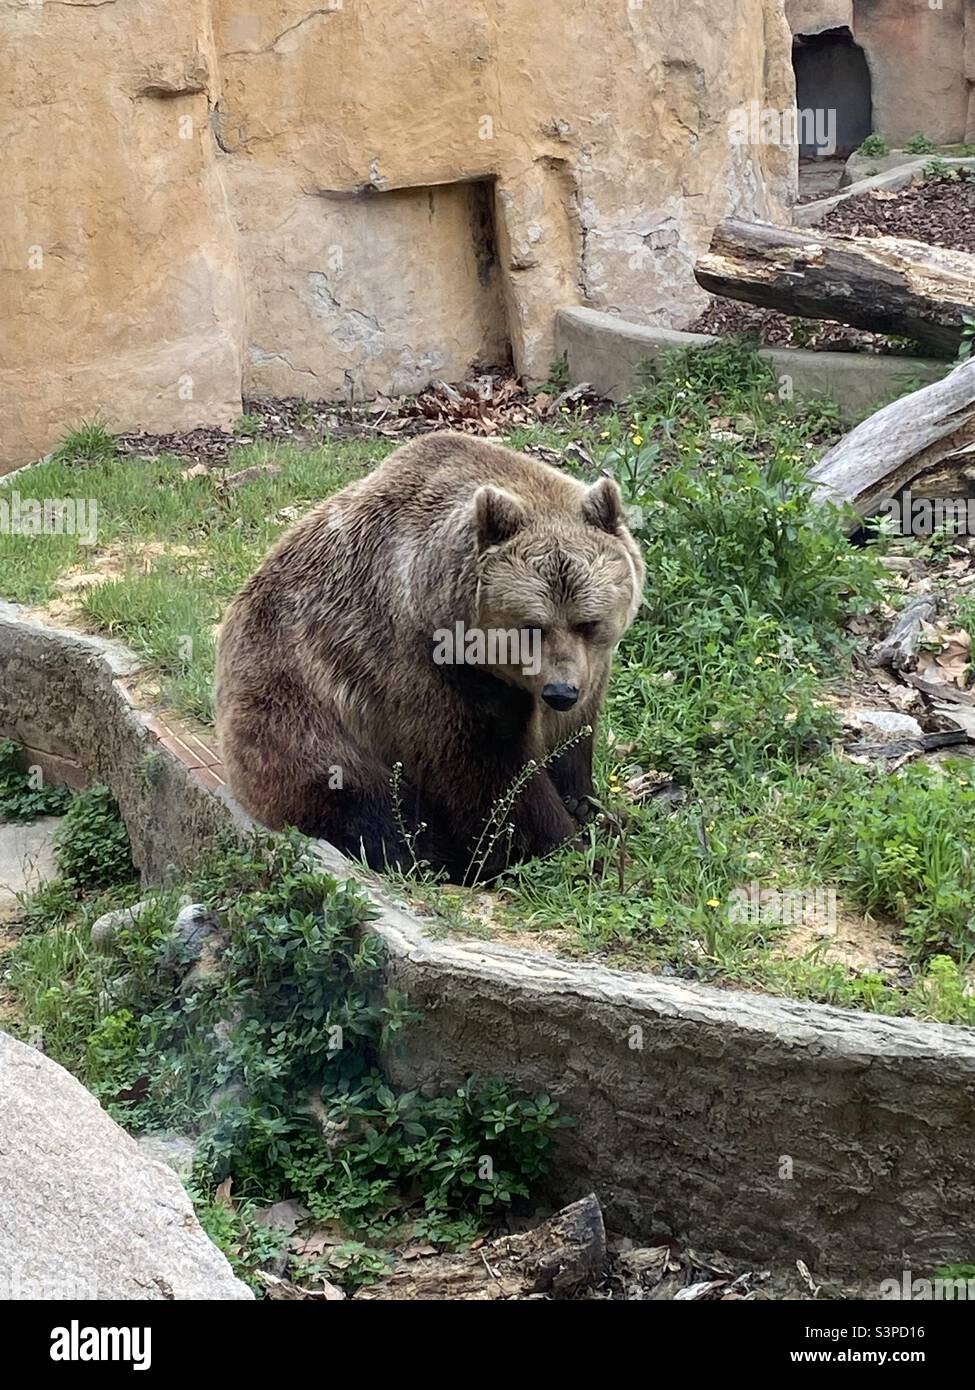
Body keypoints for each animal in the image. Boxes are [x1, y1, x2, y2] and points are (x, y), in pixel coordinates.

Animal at [215, 431, 645, 883]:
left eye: (587, 622)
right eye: (531, 625)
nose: (560, 691)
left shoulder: (587, 672)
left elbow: (571, 744)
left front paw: (594, 811)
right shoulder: (431, 671)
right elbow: (489, 776)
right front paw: (563, 848)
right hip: (299, 715)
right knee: (365, 801)